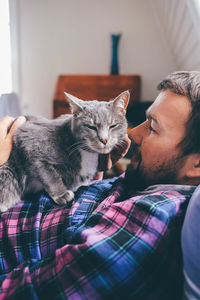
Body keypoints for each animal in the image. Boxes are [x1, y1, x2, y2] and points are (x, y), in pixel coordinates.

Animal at [0, 91, 130, 211]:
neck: (87, 154)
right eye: (91, 127)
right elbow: (50, 175)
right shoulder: (29, 142)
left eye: (113, 126)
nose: (104, 139)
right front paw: (61, 194)